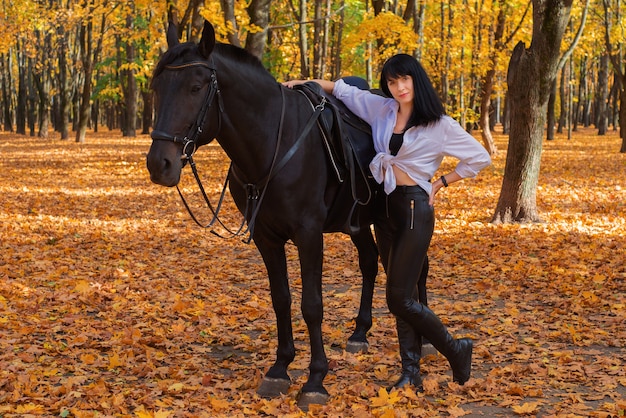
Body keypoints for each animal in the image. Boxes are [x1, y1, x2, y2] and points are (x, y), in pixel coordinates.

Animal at [146, 21, 378, 410]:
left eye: (195, 88)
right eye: (157, 88)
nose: (159, 164)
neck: (273, 143)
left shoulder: (309, 234)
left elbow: (312, 304)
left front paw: (315, 379)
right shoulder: (268, 239)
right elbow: (280, 298)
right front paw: (280, 368)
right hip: (357, 223)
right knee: (371, 262)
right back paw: (360, 332)